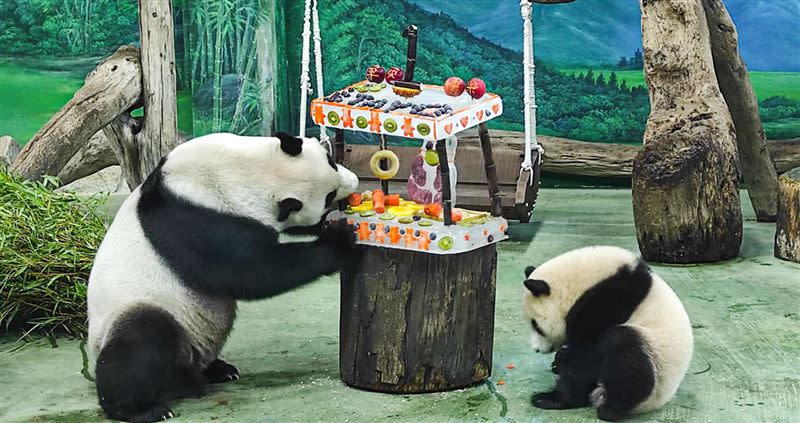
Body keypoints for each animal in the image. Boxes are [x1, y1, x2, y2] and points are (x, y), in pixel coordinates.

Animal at [87, 133, 360, 423]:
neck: (247, 173)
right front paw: (340, 242)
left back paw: (219, 370)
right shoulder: (197, 221)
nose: (353, 181)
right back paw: (141, 409)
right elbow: (252, 271)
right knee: (140, 340)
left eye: (330, 161)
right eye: (328, 196)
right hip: (136, 312)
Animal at [520, 247, 692, 422]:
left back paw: (610, 409)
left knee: (625, 351)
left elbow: (584, 357)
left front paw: (549, 398)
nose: (537, 349)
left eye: (535, 325)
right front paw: (557, 363)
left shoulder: (608, 302)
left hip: (657, 364)